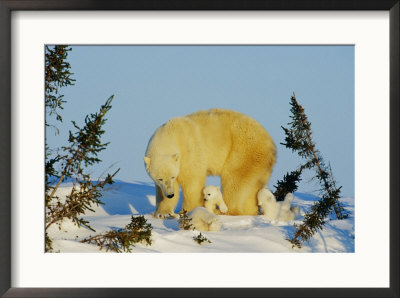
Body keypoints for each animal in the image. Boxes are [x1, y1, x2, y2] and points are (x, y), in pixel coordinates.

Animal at [145, 108, 278, 218]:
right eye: (160, 178)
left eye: (172, 176)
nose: (170, 194)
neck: (171, 133)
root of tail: (271, 143)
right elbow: (162, 190)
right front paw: (162, 212)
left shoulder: (189, 151)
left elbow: (192, 182)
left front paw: (189, 210)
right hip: (260, 165)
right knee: (251, 187)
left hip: (245, 151)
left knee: (235, 182)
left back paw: (223, 211)